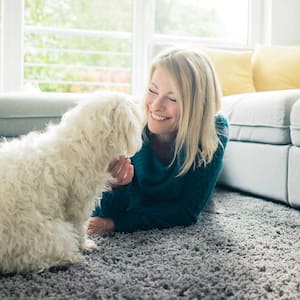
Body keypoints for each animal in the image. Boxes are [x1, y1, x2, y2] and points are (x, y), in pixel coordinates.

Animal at [0, 92, 142, 274]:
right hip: (51, 235)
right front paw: (84, 245)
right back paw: (69, 258)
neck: (81, 143)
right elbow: (80, 226)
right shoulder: (78, 202)